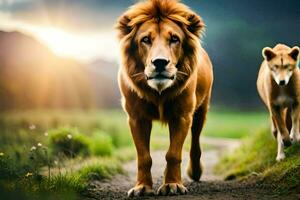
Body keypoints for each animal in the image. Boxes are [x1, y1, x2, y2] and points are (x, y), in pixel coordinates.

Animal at [116, 0, 212, 197]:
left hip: (201, 111)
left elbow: (173, 154)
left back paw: (195, 172)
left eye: (174, 39)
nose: (160, 62)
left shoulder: (182, 116)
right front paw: (142, 187)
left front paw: (173, 185)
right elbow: (144, 157)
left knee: (195, 144)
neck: (158, 92)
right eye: (145, 40)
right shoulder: (137, 118)